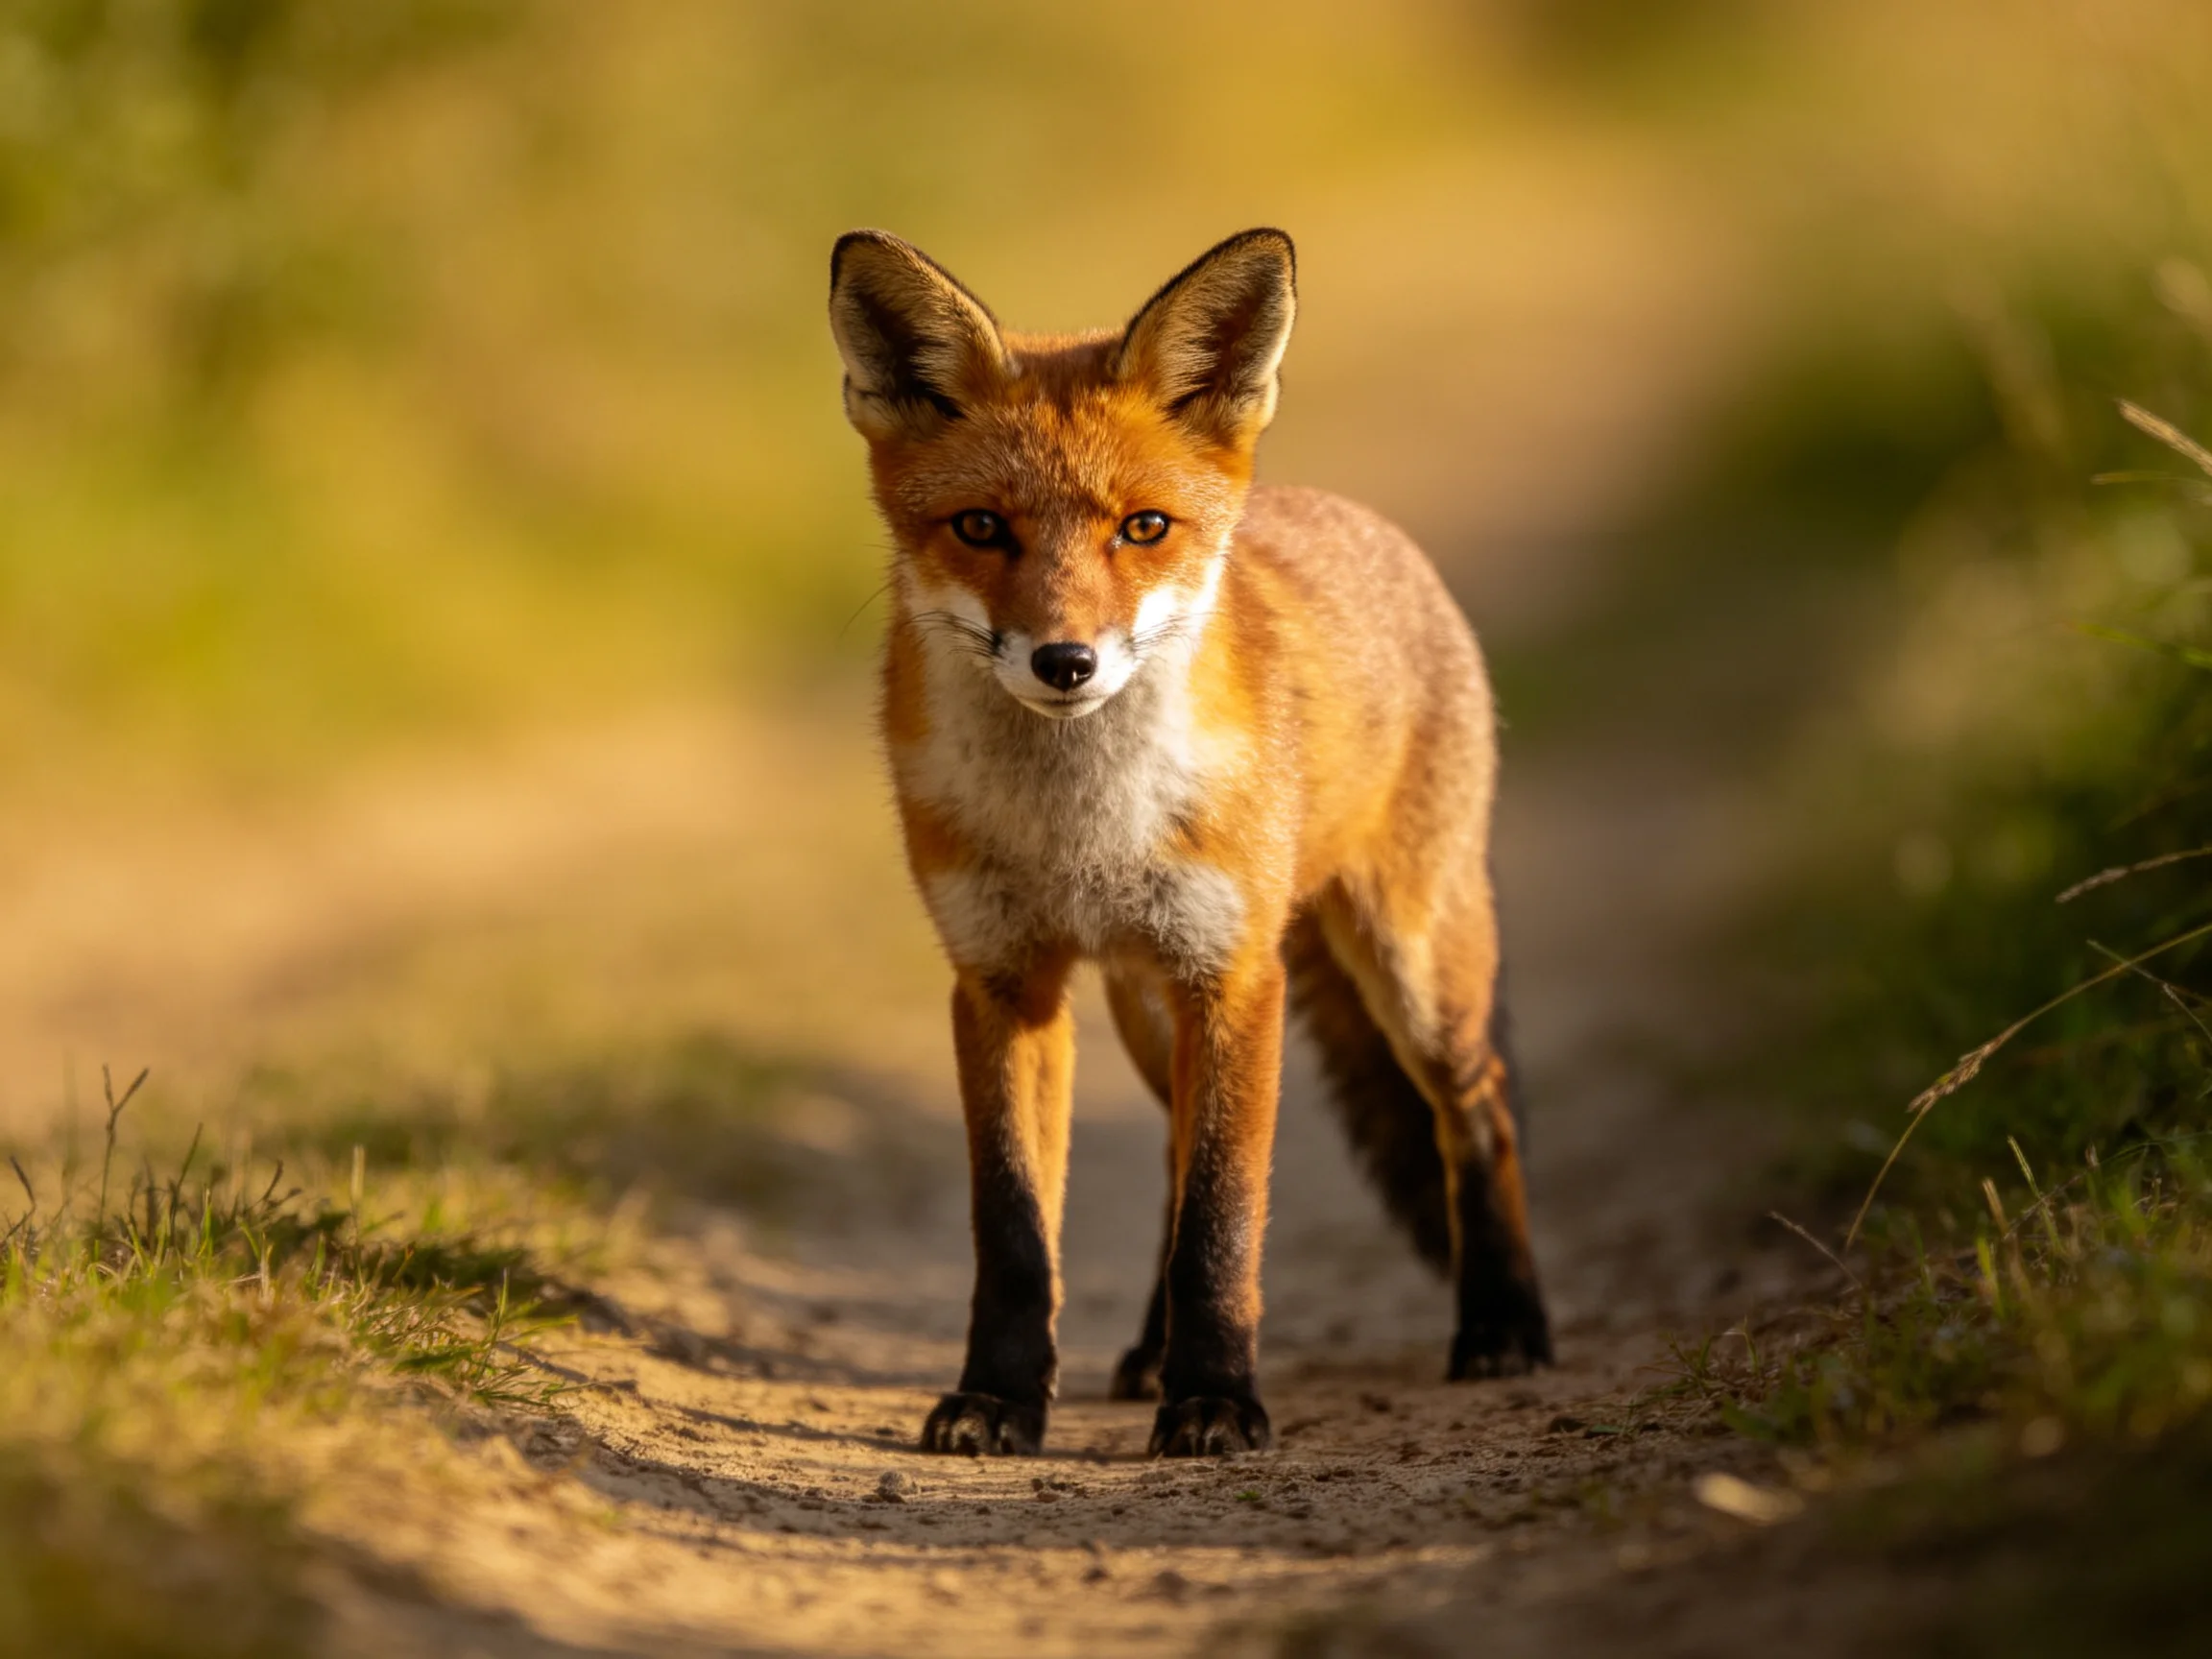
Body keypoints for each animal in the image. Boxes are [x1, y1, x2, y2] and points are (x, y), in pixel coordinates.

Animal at [827, 227, 1551, 1459]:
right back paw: (1149, 1353)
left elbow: (1225, 1219)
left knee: (1479, 1112)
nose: (1064, 661)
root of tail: (1364, 521)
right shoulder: (1002, 980)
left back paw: (1505, 1325)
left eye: (1143, 528)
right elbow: (1016, 1229)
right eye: (981, 527)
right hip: (1144, 1010)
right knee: (1170, 1159)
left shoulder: (1234, 975)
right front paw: (1000, 1399)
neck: (1080, 830)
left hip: (1412, 972)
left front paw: (1216, 1400)